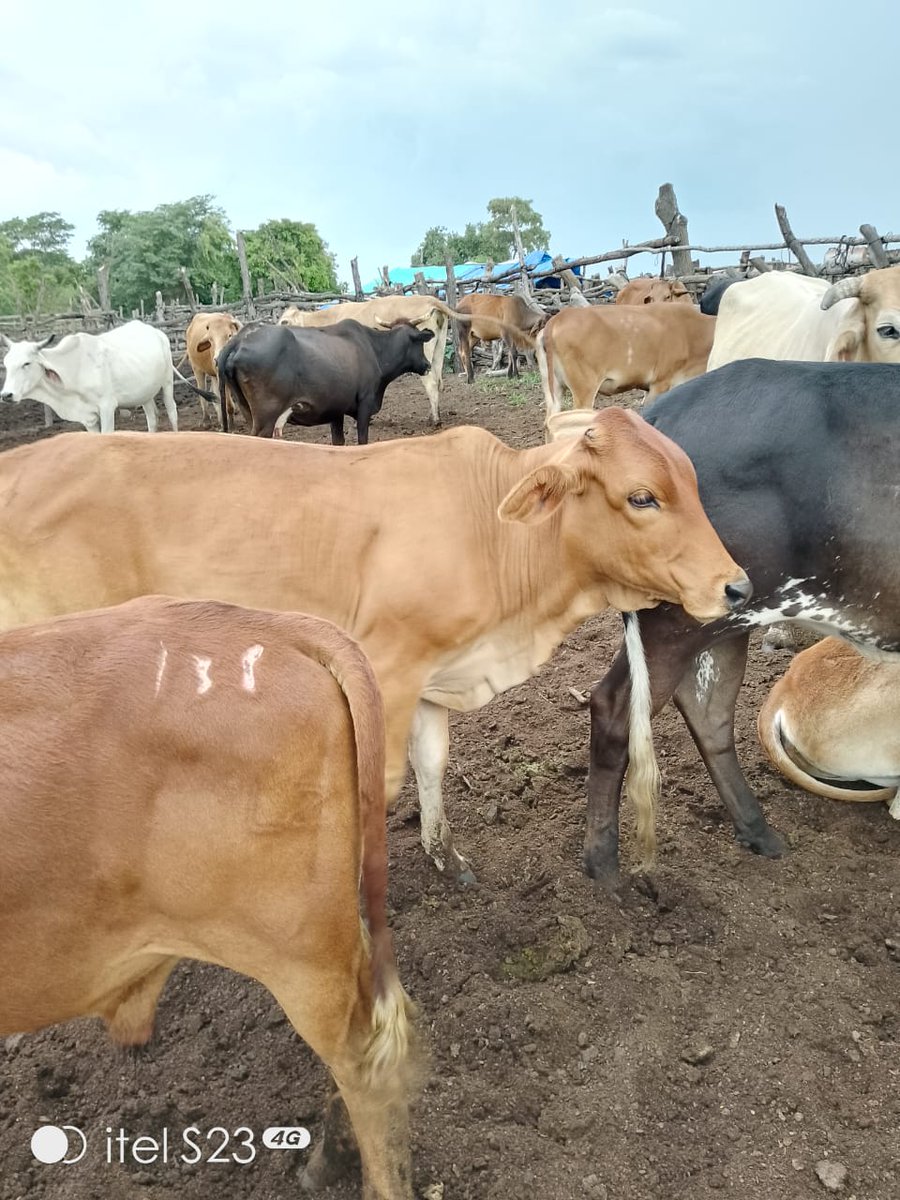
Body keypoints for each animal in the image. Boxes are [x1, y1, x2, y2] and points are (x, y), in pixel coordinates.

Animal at [0, 321, 178, 433]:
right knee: (152, 419)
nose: (6, 395)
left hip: (167, 382)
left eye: (26, 363)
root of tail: (155, 331)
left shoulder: (107, 407)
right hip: (144, 393)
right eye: (6, 364)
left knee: (172, 412)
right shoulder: (88, 419)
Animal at [0, 415, 750, 883]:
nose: (736, 585)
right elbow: (379, 784)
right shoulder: (385, 670)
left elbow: (432, 763)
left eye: (691, 482)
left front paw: (447, 860)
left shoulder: (431, 672)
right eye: (641, 497)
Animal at [217, 319, 435, 443]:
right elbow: (362, 440)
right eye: (420, 343)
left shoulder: (335, 410)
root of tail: (239, 339)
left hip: (247, 410)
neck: (374, 349)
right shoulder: (365, 403)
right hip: (266, 417)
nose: (428, 364)